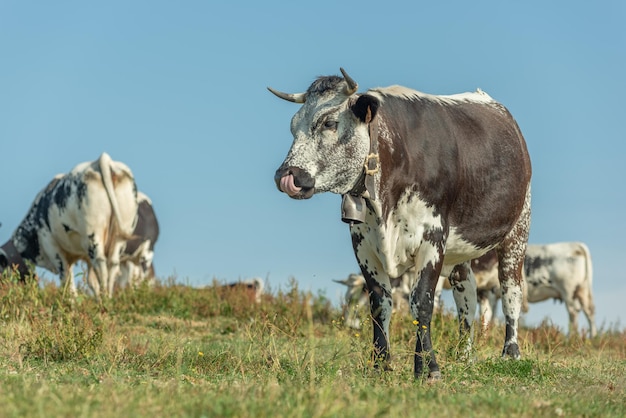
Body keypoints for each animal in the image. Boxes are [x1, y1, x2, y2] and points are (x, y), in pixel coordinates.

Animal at [0, 153, 137, 300]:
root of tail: (101, 160)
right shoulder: (82, 255)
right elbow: (91, 281)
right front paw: (96, 300)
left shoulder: (51, 246)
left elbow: (66, 280)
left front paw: (71, 302)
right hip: (119, 237)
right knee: (113, 265)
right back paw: (108, 299)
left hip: (93, 235)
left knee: (100, 264)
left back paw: (105, 297)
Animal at [270, 68, 532, 378]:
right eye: (292, 126)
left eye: (329, 122)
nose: (286, 175)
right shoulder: (363, 243)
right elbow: (379, 304)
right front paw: (380, 365)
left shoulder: (432, 237)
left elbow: (422, 303)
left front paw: (428, 368)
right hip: (460, 250)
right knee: (466, 294)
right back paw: (464, 356)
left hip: (518, 228)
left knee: (511, 290)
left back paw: (511, 353)